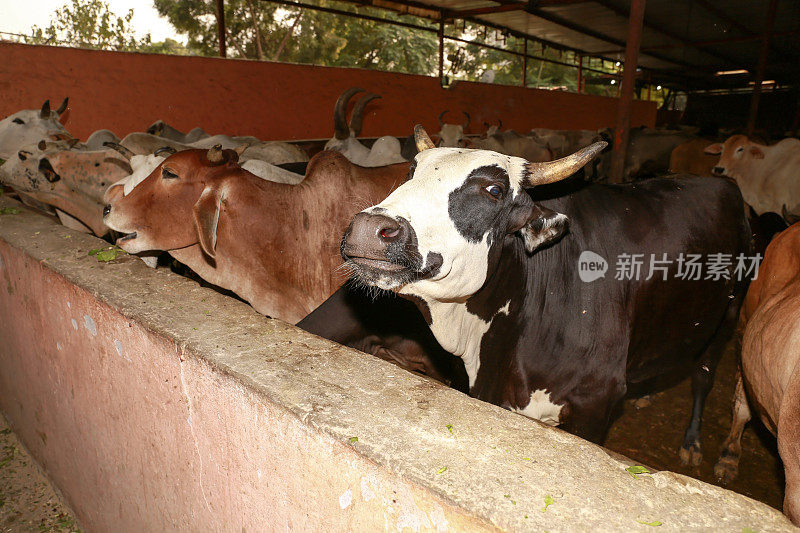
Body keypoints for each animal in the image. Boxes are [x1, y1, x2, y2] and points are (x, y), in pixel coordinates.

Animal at [340, 124, 752, 462]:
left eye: (494, 190)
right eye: (411, 173)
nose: (369, 229)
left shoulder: (594, 403)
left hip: (727, 317)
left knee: (703, 375)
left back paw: (693, 443)